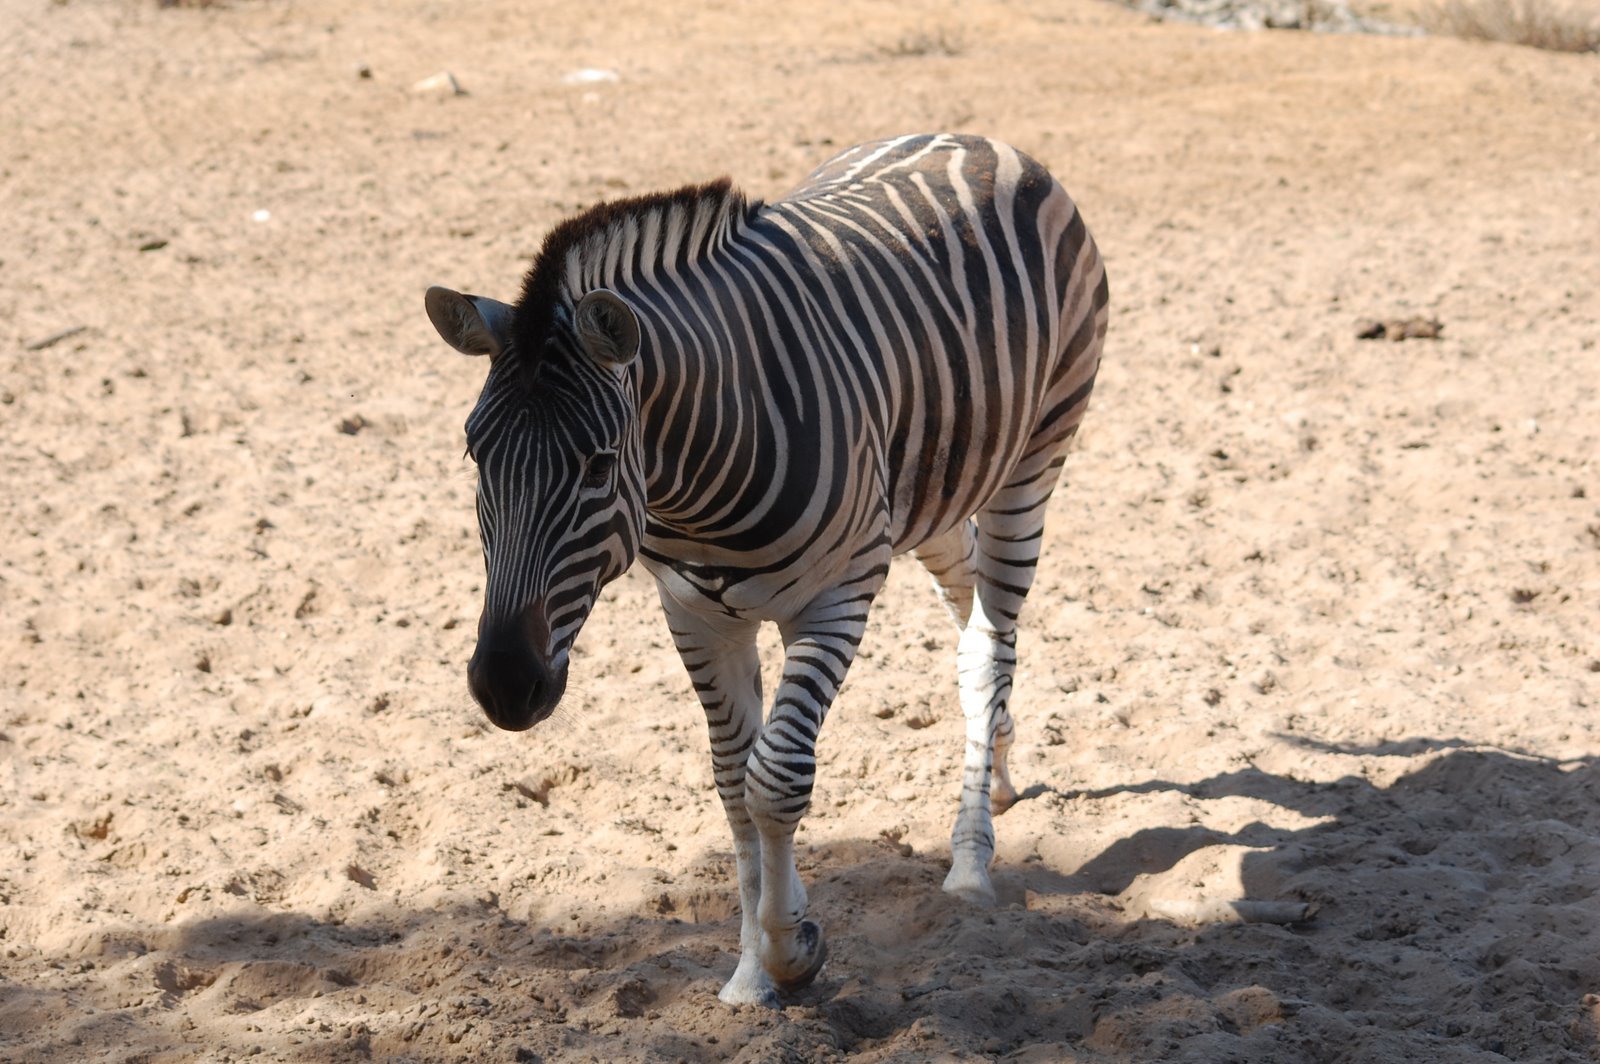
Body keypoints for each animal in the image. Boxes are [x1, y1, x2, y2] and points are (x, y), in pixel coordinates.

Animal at [424, 133, 1108, 1008]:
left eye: (598, 463)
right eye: (474, 454)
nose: (505, 687)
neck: (694, 487)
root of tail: (973, 140)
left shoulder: (838, 595)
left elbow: (775, 779)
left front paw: (791, 953)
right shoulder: (695, 613)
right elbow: (731, 784)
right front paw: (752, 970)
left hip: (1034, 462)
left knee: (992, 646)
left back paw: (970, 860)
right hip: (936, 488)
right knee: (969, 625)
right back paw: (999, 771)